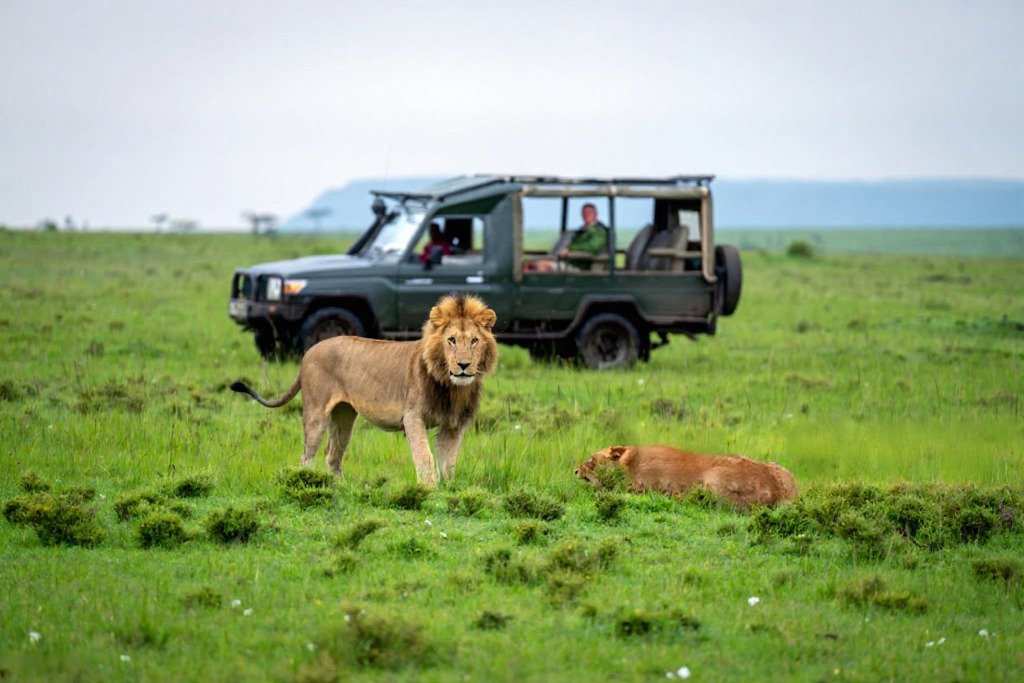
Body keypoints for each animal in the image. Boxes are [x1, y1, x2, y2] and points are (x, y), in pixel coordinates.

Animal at [231, 294, 498, 487]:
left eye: (474, 341)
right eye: (451, 340)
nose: (463, 365)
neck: (452, 387)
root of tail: (309, 352)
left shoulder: (454, 423)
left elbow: (449, 462)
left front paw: (449, 490)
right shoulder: (413, 417)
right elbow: (424, 456)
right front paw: (428, 490)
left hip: (344, 416)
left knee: (332, 455)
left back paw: (340, 488)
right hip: (316, 413)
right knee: (307, 455)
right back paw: (309, 484)